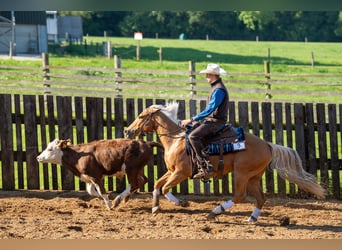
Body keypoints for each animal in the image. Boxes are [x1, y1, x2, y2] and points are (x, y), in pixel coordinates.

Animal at [125, 101, 326, 221]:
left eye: (141, 116)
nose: (128, 131)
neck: (176, 139)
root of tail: (267, 145)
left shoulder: (181, 173)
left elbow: (166, 188)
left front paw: (182, 203)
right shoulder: (172, 171)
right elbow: (157, 185)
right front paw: (155, 208)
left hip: (241, 174)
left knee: (239, 196)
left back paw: (214, 212)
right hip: (253, 177)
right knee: (260, 198)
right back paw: (252, 218)